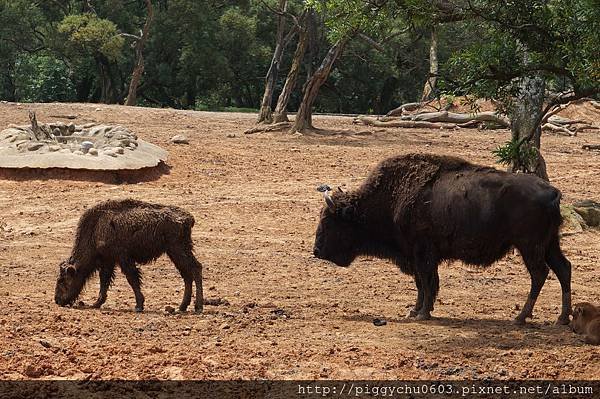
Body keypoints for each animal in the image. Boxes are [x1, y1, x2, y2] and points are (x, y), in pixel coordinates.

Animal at [55, 198, 204, 314]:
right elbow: (104, 281)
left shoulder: (123, 259)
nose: (57, 300)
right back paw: (182, 307)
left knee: (195, 269)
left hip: (177, 249)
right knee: (187, 274)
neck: (95, 229)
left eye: (62, 280)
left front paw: (138, 306)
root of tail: (188, 218)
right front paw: (96, 303)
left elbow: (132, 279)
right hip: (175, 252)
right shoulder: (108, 261)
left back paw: (198, 307)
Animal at [314, 153, 572, 324]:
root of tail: (552, 192)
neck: (391, 198)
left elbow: (427, 281)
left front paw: (422, 313)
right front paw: (415, 310)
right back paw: (562, 318)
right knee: (563, 268)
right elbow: (421, 283)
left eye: (330, 221)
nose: (316, 251)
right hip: (550, 244)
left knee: (540, 274)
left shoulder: (421, 253)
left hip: (530, 247)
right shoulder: (415, 255)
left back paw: (520, 317)